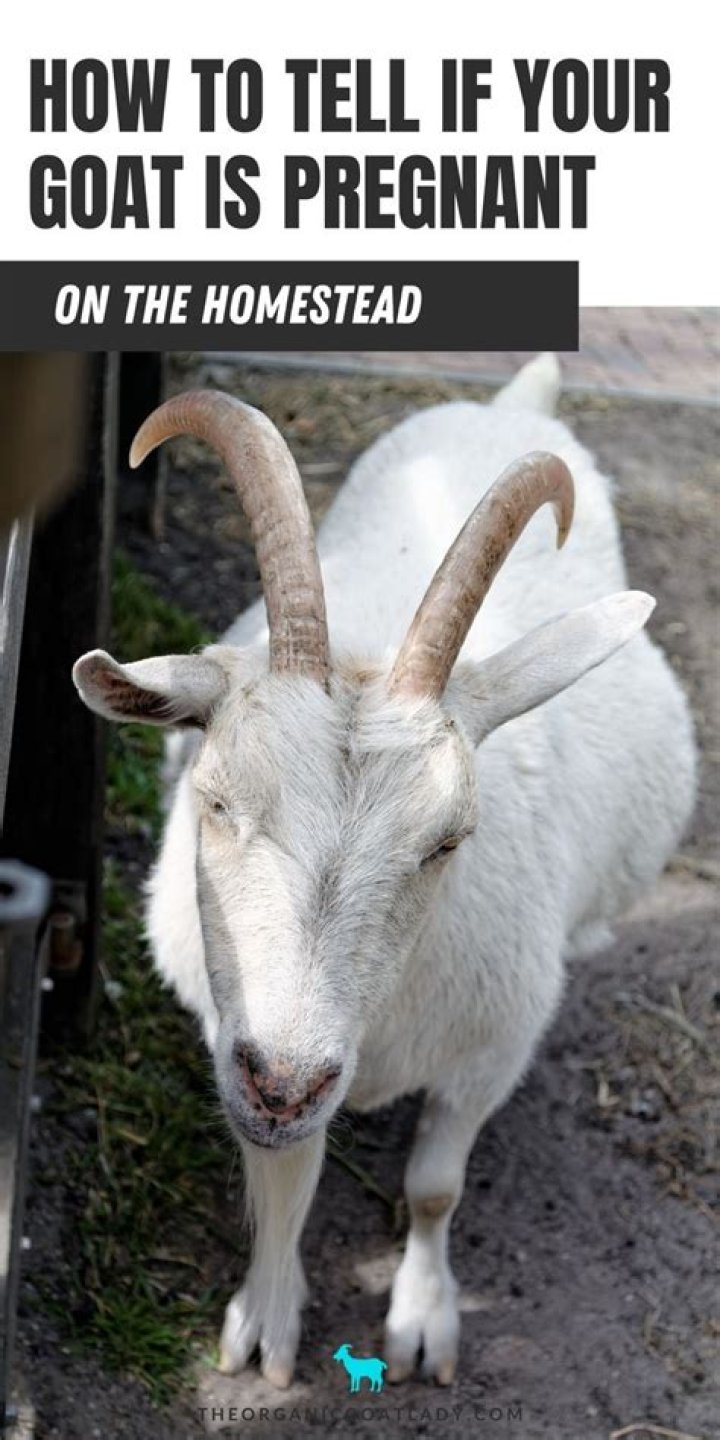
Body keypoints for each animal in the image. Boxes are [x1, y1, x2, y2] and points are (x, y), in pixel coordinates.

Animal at [73, 355, 696, 1389]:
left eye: (448, 842)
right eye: (216, 799)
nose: (284, 1083)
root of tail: (512, 404)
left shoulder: (489, 1049)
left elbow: (437, 1189)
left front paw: (422, 1323)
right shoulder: (239, 1042)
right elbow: (285, 1180)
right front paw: (266, 1326)